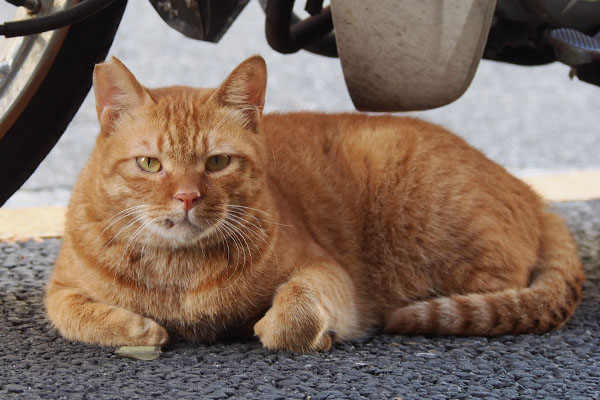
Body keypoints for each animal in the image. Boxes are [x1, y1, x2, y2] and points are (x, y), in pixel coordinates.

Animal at [45, 55, 584, 350]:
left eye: (217, 162)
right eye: (150, 164)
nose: (187, 196)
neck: (178, 276)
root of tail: (533, 193)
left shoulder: (328, 274)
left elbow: (292, 313)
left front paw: (295, 329)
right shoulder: (60, 289)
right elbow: (77, 317)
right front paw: (141, 329)